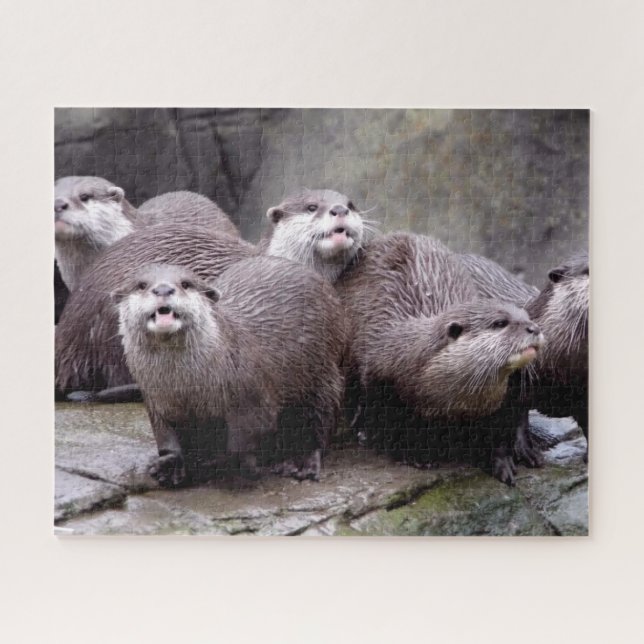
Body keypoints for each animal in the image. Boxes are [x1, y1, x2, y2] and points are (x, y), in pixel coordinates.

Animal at [116, 260, 344, 487]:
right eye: (141, 285)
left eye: (186, 283)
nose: (163, 289)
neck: (185, 388)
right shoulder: (156, 400)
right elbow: (166, 436)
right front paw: (171, 465)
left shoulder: (252, 393)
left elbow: (246, 436)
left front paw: (244, 466)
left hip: (322, 374)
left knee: (320, 419)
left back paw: (301, 462)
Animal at [338, 232, 543, 485]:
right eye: (500, 323)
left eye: (526, 316)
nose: (534, 328)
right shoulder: (382, 381)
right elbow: (392, 427)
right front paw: (415, 456)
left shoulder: (496, 402)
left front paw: (501, 462)